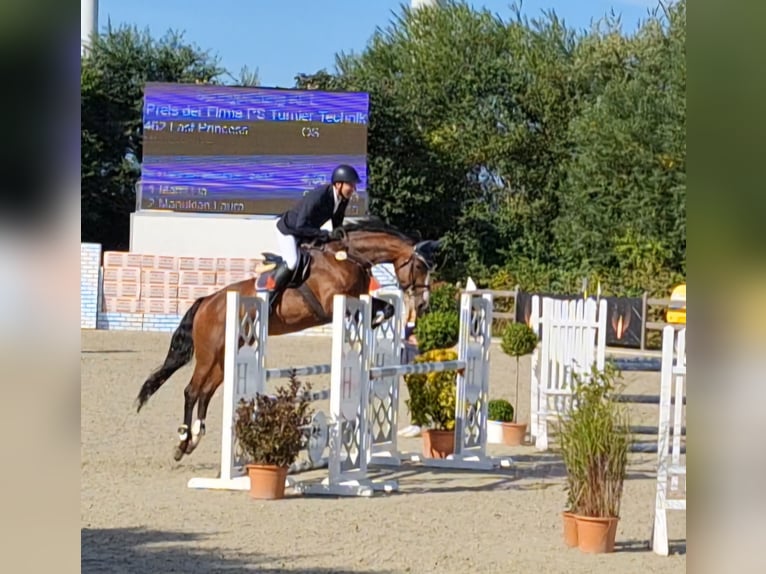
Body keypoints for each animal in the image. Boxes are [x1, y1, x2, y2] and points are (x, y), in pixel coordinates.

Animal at [135, 217, 440, 464]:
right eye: (420, 266)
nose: (423, 304)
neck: (347, 257)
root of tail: (207, 301)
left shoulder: (359, 298)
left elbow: (386, 308)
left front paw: (375, 321)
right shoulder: (333, 303)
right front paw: (372, 322)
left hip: (225, 356)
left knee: (206, 392)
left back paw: (195, 439)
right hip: (208, 354)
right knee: (192, 391)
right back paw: (183, 441)